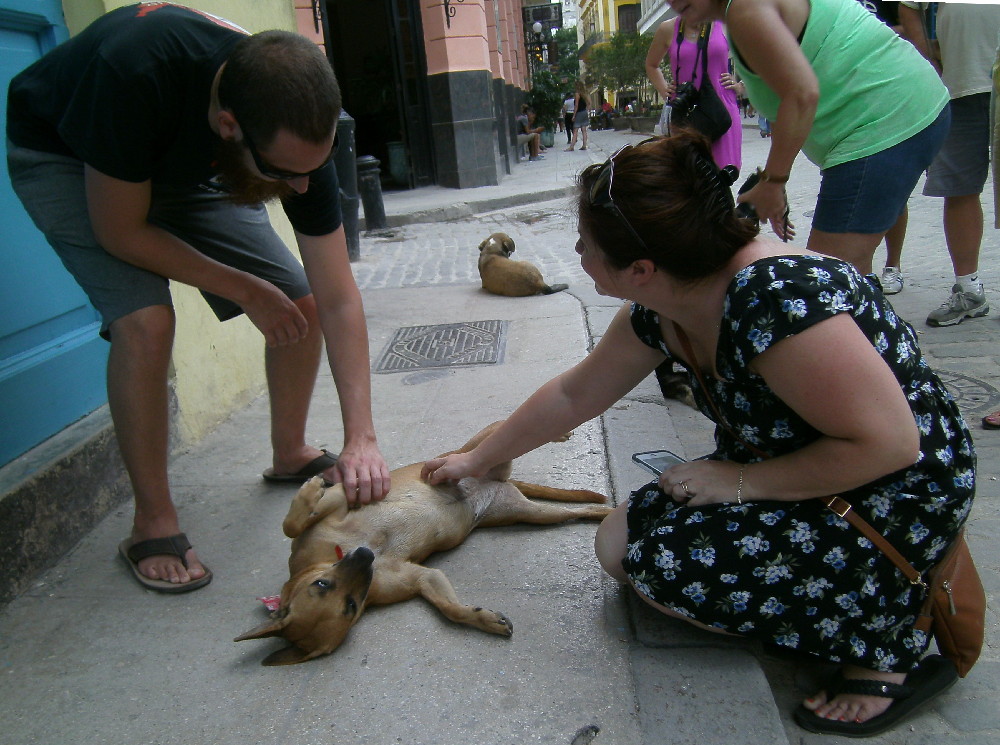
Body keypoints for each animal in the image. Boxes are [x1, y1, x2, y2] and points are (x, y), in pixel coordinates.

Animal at [235, 422, 608, 664]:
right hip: (533, 513)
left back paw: (559, 433)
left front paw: (309, 490)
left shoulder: (338, 500)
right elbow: (449, 608)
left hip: (475, 448)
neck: (327, 558)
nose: (365, 556)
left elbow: (291, 524)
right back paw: (603, 513)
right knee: (575, 511)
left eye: (321, 584)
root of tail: (499, 482)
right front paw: (482, 619)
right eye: (350, 606)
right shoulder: (422, 578)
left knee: (509, 425)